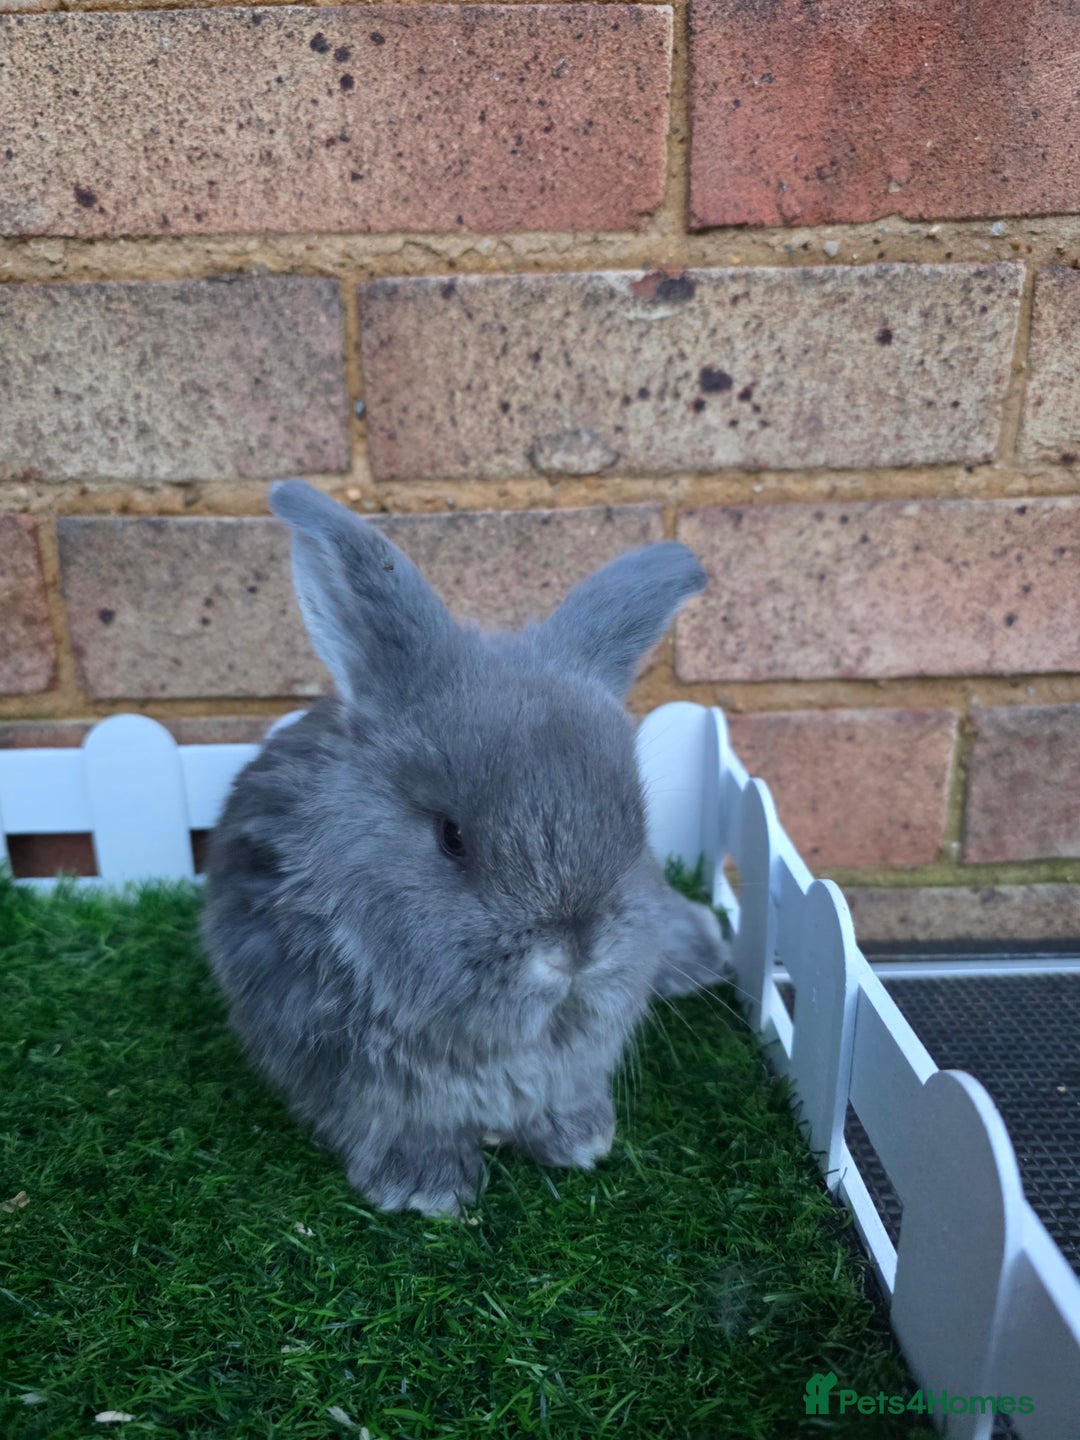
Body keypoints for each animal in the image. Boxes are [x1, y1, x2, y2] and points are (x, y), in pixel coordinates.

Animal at [201, 480, 730, 1217]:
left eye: (635, 822)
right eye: (451, 837)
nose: (574, 952)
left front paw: (580, 1140)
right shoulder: (354, 1080)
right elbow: (394, 1125)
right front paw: (426, 1189)